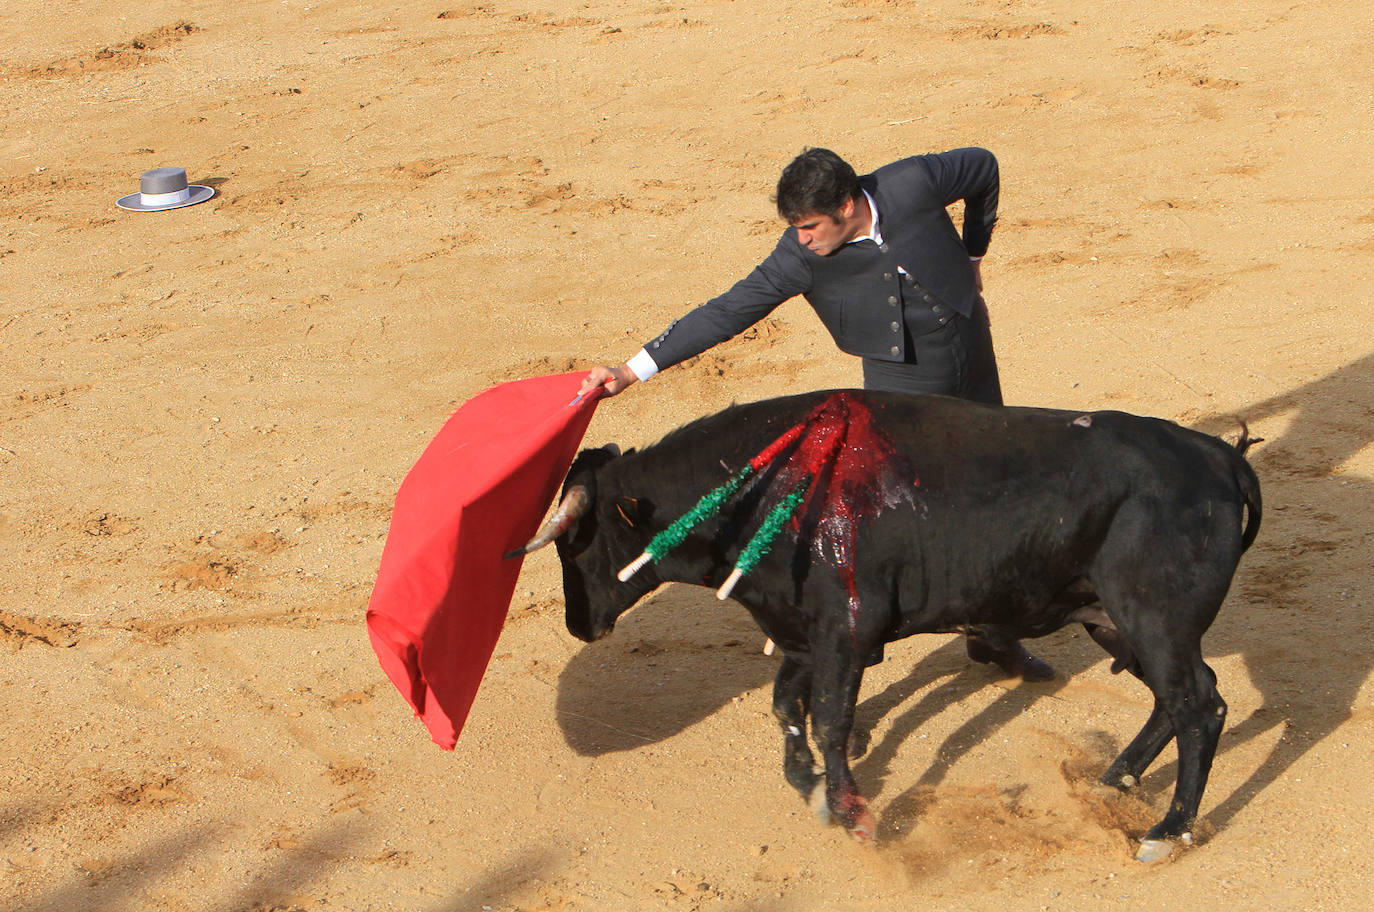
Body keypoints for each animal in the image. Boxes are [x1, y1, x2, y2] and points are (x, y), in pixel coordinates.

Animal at [513, 387, 1258, 857]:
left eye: (575, 539)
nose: (579, 626)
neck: (764, 489)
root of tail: (1217, 455)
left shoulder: (847, 632)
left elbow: (830, 720)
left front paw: (853, 814)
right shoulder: (803, 631)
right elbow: (787, 704)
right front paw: (811, 787)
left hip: (1152, 618)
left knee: (1199, 706)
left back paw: (1164, 833)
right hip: (1116, 620)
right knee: (1175, 701)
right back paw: (1113, 782)